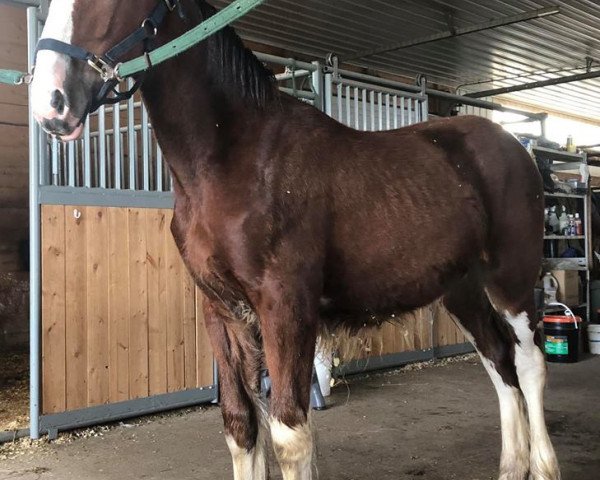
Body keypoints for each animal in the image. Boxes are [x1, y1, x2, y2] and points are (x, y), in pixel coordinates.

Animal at [30, 0, 560, 480]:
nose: (49, 103)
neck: (233, 158)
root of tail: (513, 143)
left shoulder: (286, 306)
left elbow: (289, 433)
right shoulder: (221, 312)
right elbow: (240, 425)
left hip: (511, 278)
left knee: (529, 362)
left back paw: (543, 465)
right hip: (462, 289)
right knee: (497, 361)